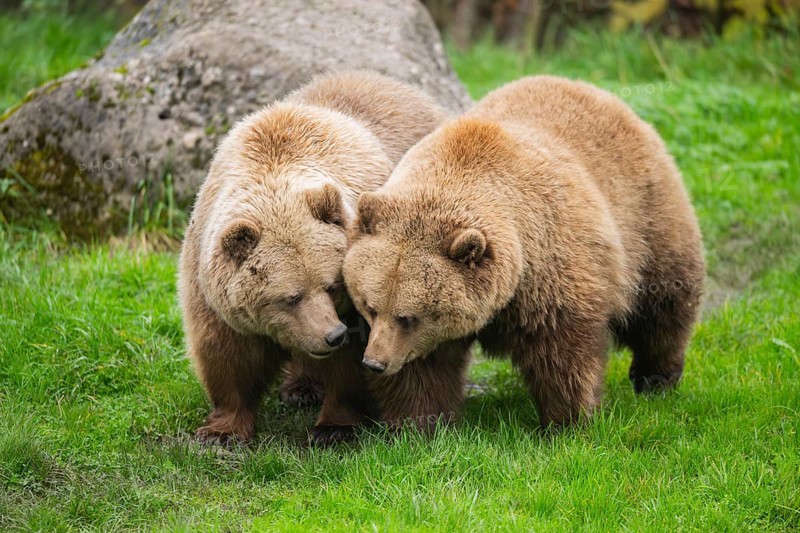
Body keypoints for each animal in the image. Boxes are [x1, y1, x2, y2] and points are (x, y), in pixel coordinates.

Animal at [178, 70, 447, 444]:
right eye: (290, 297)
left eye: (332, 286)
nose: (332, 334)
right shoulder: (208, 279)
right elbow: (226, 352)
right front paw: (222, 431)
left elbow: (353, 365)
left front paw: (334, 428)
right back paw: (300, 387)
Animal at [343, 75, 705, 430]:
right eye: (370, 307)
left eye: (408, 317)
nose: (374, 362)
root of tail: (585, 86)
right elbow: (422, 370)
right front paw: (417, 423)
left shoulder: (547, 267)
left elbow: (561, 349)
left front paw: (567, 420)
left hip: (645, 215)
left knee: (663, 301)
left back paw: (656, 377)